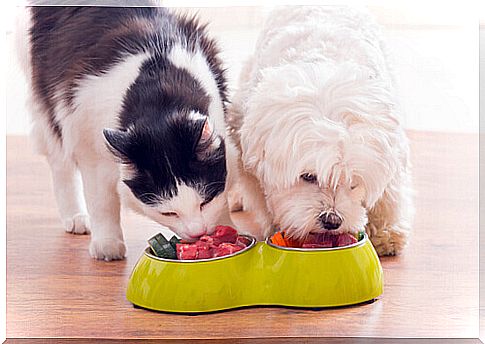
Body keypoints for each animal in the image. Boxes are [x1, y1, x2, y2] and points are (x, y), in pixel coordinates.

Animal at [15, 4, 233, 260]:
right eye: (169, 213)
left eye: (204, 202)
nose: (198, 232)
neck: (158, 98)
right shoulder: (91, 149)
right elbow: (102, 203)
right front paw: (107, 245)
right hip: (51, 110)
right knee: (61, 165)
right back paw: (76, 217)